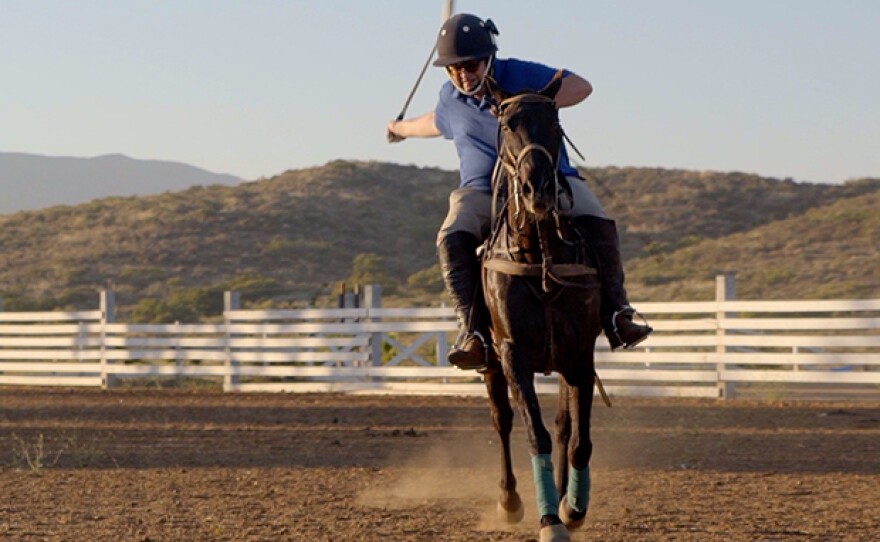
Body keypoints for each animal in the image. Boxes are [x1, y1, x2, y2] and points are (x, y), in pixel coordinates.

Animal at [478, 71, 600, 542]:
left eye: (554, 124)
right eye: (507, 124)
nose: (538, 190)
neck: (538, 256)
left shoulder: (581, 354)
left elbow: (578, 438)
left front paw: (573, 508)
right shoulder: (514, 356)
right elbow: (536, 434)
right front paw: (549, 520)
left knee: (565, 427)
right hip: (492, 362)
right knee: (503, 420)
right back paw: (510, 499)